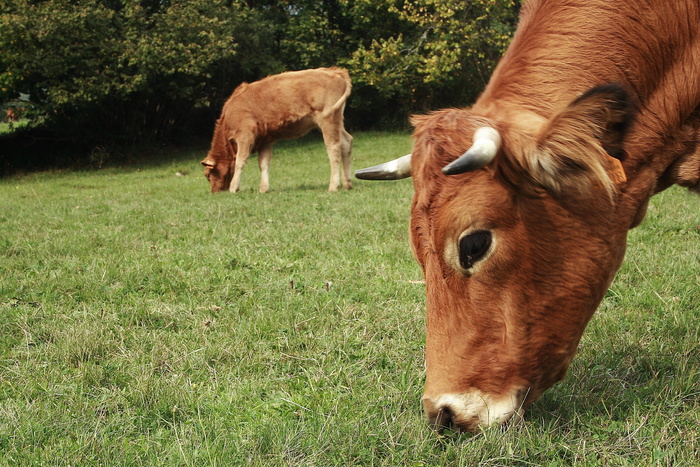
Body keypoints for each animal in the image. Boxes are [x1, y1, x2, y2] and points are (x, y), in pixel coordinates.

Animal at [202, 66, 356, 193]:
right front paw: (263, 189)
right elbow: (264, 164)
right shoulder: (265, 141)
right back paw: (347, 184)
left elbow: (241, 160)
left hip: (328, 120)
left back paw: (333, 186)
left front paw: (234, 188)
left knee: (334, 147)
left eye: (209, 175)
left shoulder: (244, 135)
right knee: (346, 142)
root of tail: (335, 72)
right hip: (337, 121)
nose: (214, 192)